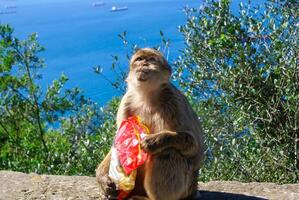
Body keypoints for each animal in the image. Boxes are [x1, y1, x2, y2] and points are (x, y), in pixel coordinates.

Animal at [97, 47, 205, 199]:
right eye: (139, 59)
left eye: (152, 60)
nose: (144, 64)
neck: (147, 96)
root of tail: (194, 189)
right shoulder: (126, 101)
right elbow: (117, 143)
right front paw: (102, 179)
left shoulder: (175, 100)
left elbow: (195, 146)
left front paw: (156, 140)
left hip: (185, 186)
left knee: (167, 152)